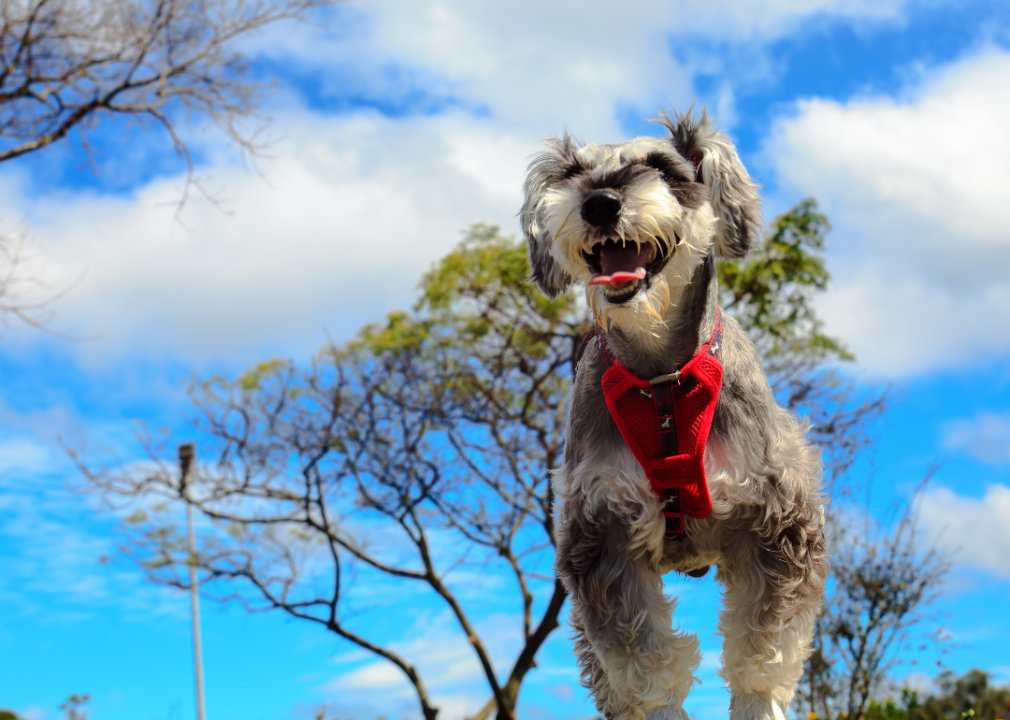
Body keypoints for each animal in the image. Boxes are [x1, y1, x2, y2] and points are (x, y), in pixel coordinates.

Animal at [521, 109, 828, 718]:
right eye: (572, 173)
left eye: (662, 168)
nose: (599, 203)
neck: (661, 379)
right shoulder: (603, 539)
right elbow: (645, 664)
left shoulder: (777, 521)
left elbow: (762, 651)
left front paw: (759, 700)